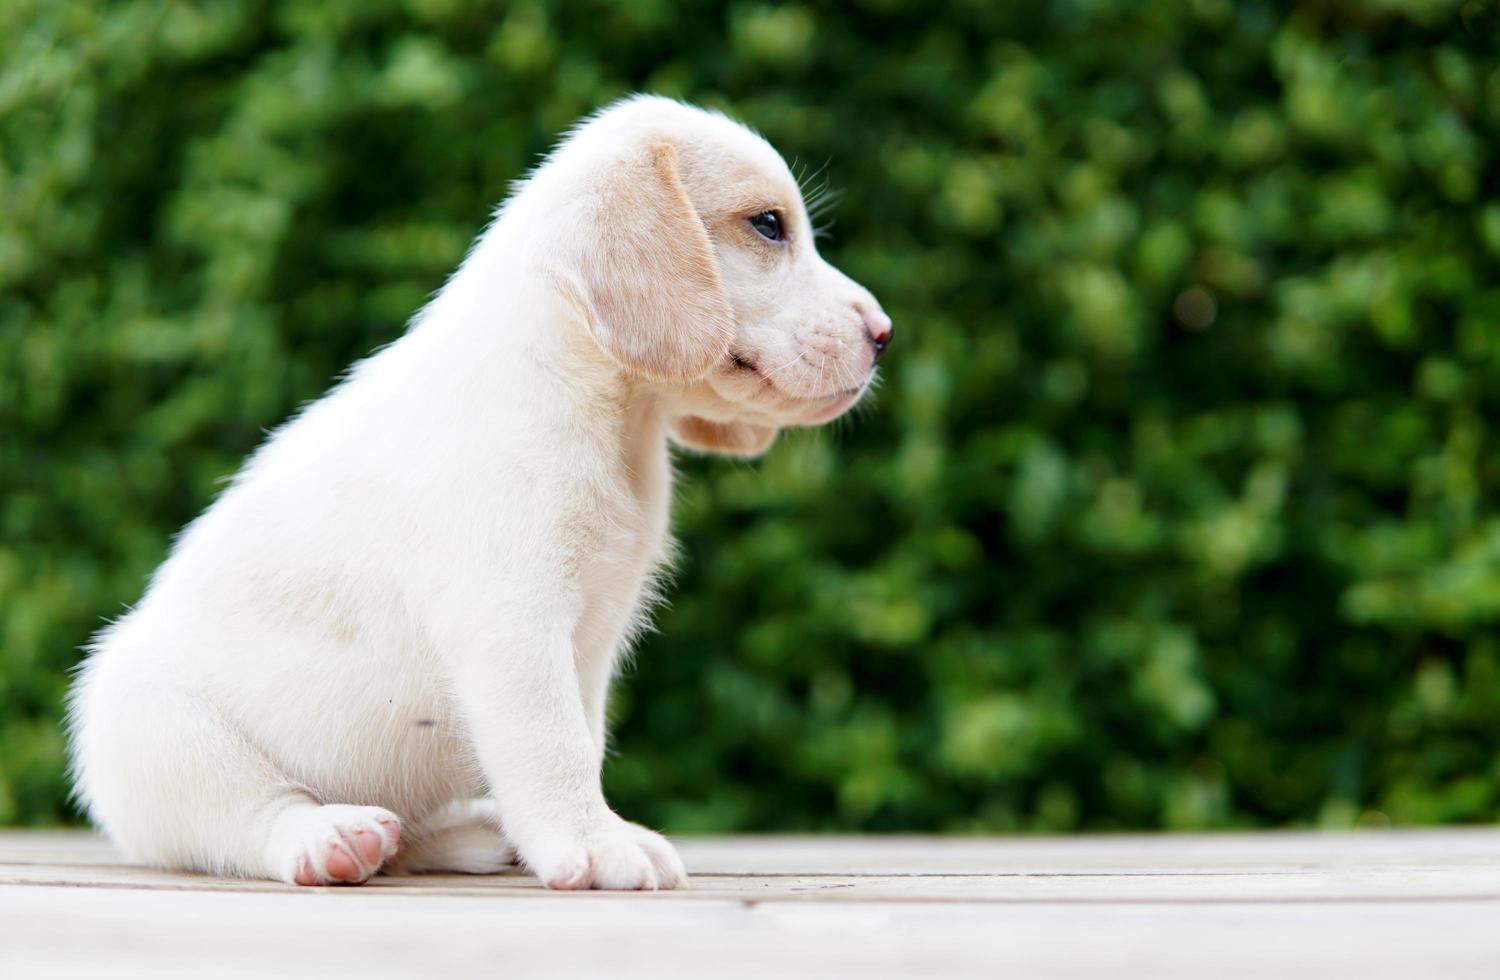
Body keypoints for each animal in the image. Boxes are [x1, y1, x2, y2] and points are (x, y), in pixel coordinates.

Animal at [64, 97, 888, 888]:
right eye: (768, 225)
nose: (883, 333)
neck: (599, 410)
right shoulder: (514, 624)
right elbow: (554, 746)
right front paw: (596, 845)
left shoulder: (589, 649)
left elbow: (584, 742)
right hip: (159, 731)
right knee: (251, 818)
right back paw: (332, 838)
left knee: (408, 834)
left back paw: (468, 834)